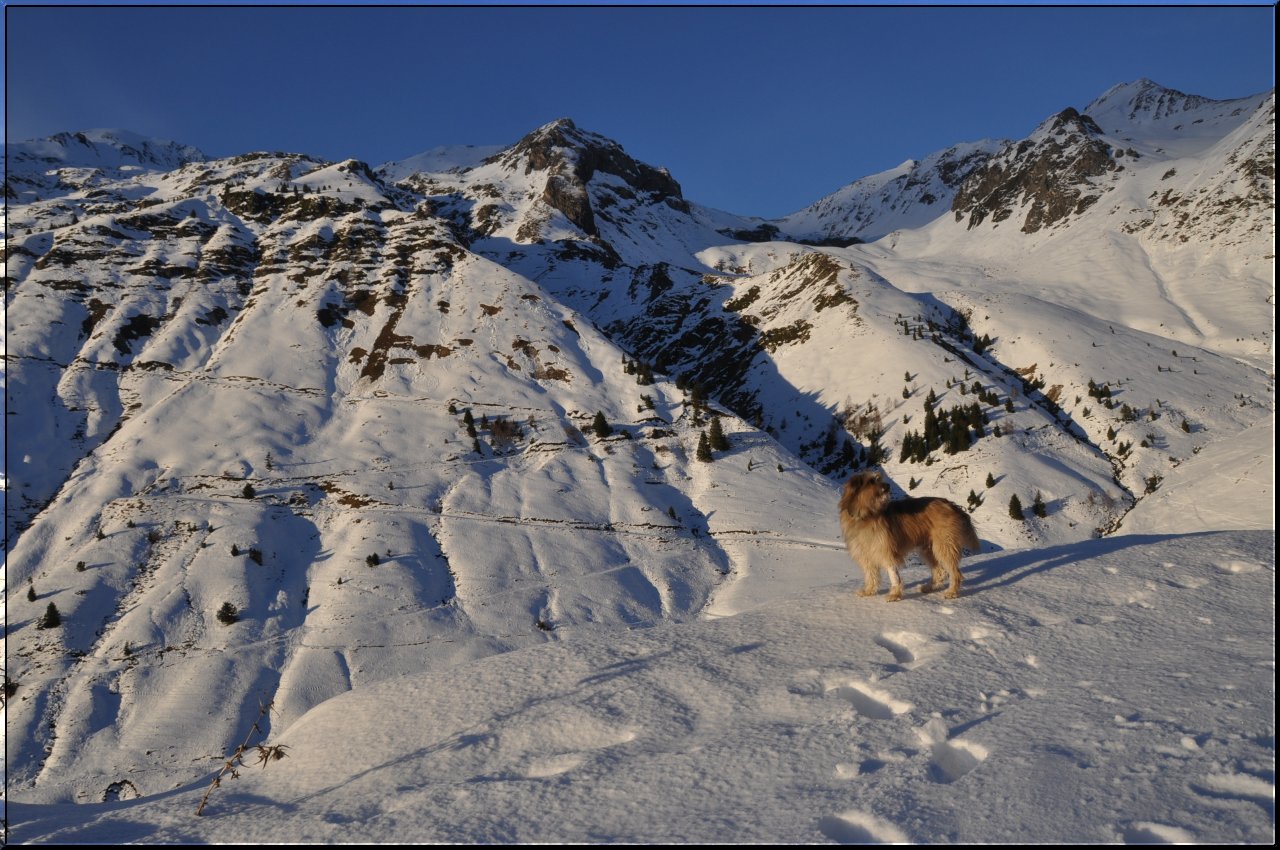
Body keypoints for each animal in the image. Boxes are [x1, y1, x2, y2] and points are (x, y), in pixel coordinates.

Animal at [839, 468, 977, 601]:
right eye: (871, 481)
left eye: (879, 478)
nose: (888, 485)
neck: (865, 516)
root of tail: (951, 504)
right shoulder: (865, 554)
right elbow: (871, 575)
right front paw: (868, 591)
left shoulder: (885, 550)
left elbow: (893, 575)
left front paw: (895, 595)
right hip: (928, 549)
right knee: (940, 572)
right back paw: (928, 587)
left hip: (944, 545)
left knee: (955, 573)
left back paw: (952, 592)